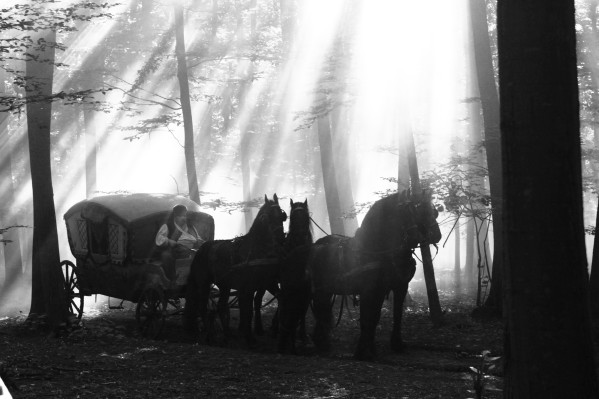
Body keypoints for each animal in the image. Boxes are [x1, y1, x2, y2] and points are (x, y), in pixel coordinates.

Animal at [184, 194, 288, 346]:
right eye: (268, 216)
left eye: (282, 215)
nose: (281, 239)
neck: (253, 250)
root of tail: (201, 249)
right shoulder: (249, 288)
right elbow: (248, 311)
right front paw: (249, 338)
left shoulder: (260, 284)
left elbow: (251, 308)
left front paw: (250, 333)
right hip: (203, 283)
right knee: (203, 307)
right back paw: (210, 336)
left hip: (224, 286)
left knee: (221, 306)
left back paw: (227, 334)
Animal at [310, 189, 440, 360]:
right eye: (408, 210)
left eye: (434, 211)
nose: (436, 235)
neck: (373, 249)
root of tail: (317, 244)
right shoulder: (369, 290)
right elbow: (367, 318)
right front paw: (363, 351)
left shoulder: (396, 287)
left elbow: (387, 315)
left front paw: (391, 345)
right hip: (320, 289)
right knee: (320, 309)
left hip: (326, 289)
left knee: (322, 310)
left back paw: (322, 342)